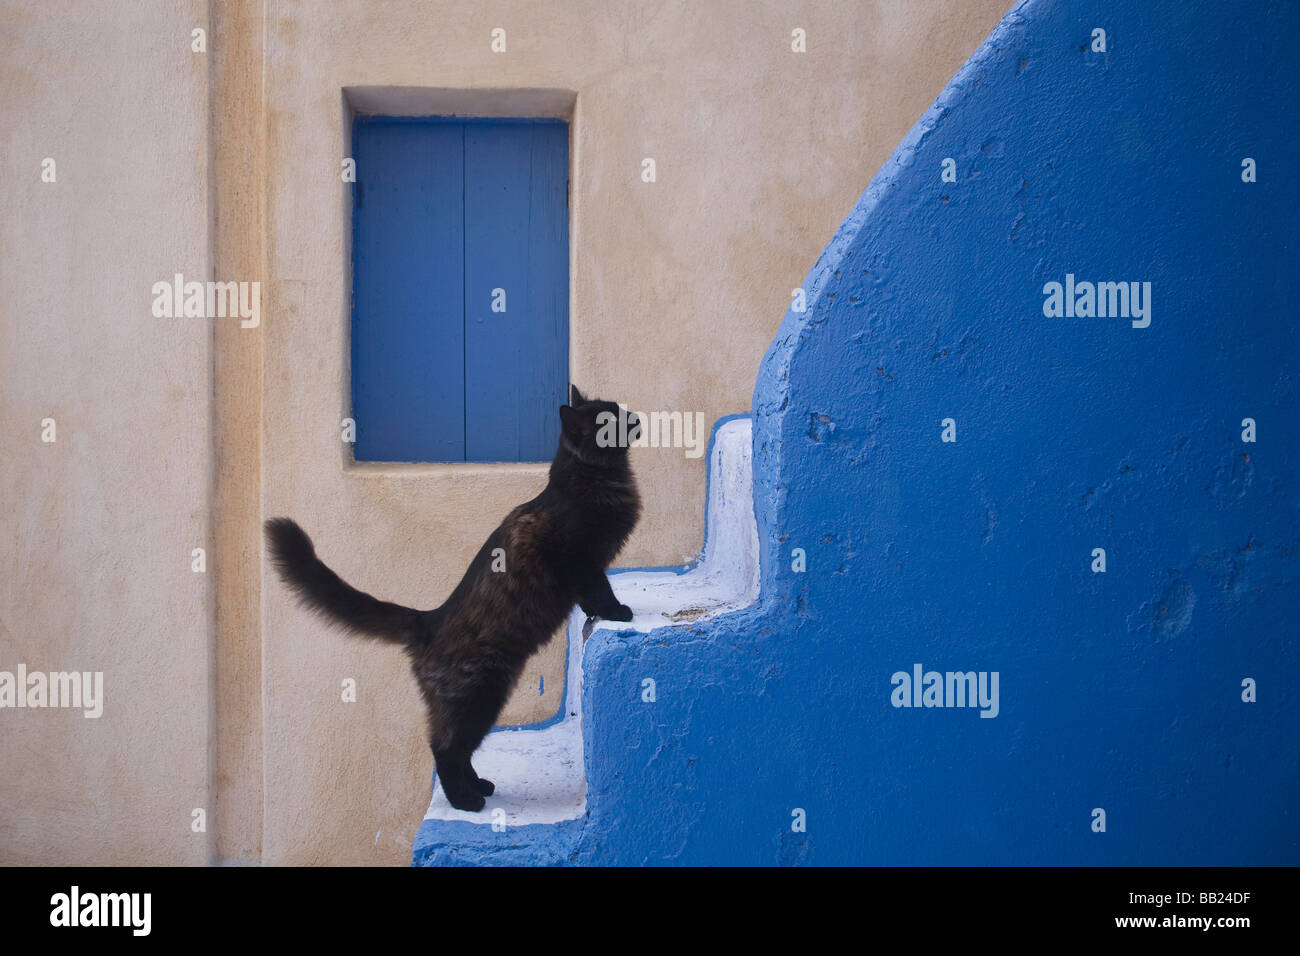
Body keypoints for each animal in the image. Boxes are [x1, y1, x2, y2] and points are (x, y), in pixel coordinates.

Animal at [266, 385, 642, 811]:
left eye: (620, 409)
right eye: (609, 420)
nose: (635, 417)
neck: (589, 479)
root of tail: (429, 618)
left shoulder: (586, 567)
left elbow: (589, 599)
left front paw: (601, 614)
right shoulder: (581, 561)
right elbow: (600, 589)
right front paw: (617, 612)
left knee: (457, 750)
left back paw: (479, 786)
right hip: (480, 694)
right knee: (444, 749)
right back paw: (466, 800)